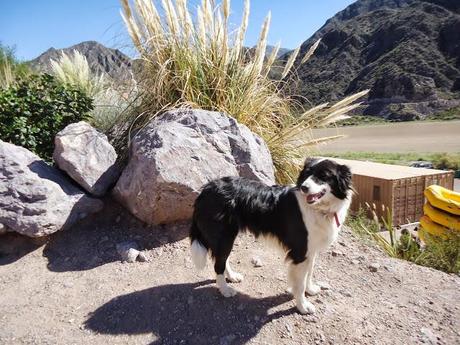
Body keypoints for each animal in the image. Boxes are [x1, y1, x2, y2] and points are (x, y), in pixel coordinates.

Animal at [188, 157, 352, 314]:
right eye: (306, 174)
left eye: (323, 176)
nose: (304, 188)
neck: (319, 209)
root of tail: (207, 189)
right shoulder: (300, 252)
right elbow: (299, 283)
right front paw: (303, 306)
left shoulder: (311, 249)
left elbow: (309, 273)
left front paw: (310, 289)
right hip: (224, 235)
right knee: (218, 264)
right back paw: (225, 289)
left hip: (227, 236)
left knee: (222, 259)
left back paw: (232, 277)